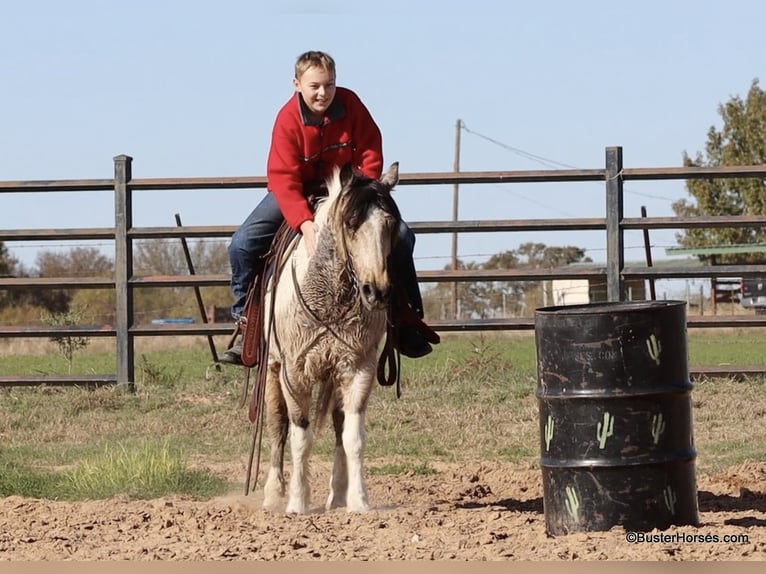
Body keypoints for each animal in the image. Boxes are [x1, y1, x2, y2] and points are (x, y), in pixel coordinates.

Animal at [256, 163, 404, 516]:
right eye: (350, 223)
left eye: (391, 225)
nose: (377, 292)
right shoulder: (294, 373)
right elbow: (299, 437)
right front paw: (297, 503)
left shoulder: (359, 368)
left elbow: (353, 436)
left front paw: (359, 501)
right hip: (272, 370)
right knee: (277, 428)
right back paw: (273, 495)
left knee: (338, 426)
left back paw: (337, 495)